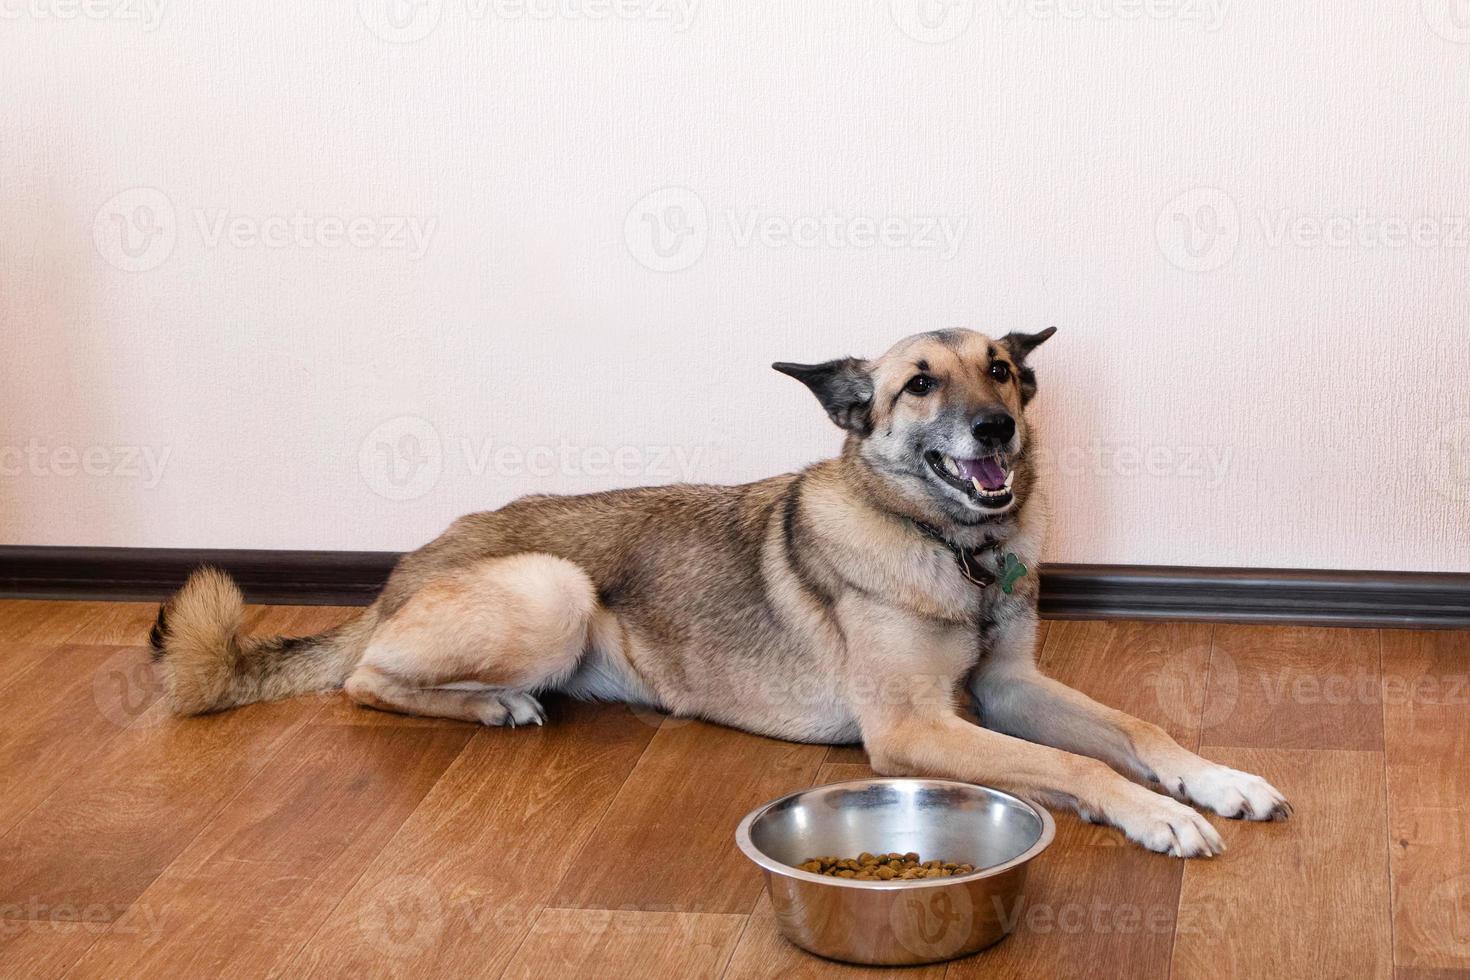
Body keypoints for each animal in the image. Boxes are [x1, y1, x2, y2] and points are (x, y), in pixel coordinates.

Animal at [149, 326, 1287, 852]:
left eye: (1001, 368)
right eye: (921, 383)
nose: (997, 429)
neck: (950, 545)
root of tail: (404, 570)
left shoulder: (1007, 687)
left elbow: (1135, 726)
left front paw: (1214, 779)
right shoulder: (914, 731)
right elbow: (1077, 764)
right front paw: (1156, 816)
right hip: (553, 588)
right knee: (365, 682)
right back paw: (489, 702)